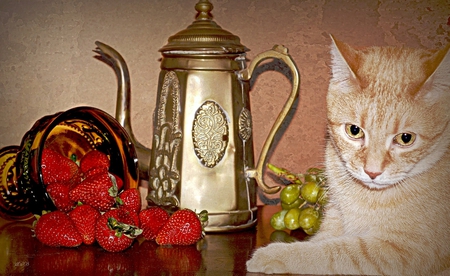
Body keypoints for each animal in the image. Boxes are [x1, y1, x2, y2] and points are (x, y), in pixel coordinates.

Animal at [246, 35, 450, 274]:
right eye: (354, 130)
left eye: (405, 138)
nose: (372, 172)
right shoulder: (335, 217)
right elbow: (322, 240)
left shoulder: (405, 250)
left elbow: (331, 252)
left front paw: (274, 254)